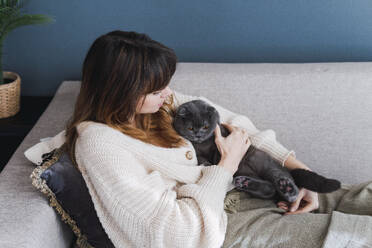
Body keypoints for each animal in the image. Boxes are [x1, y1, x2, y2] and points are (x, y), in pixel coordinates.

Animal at [173, 100, 342, 202]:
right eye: (190, 128)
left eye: (206, 126)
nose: (198, 134)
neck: (204, 144)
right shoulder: (198, 152)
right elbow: (200, 159)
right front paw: (207, 164)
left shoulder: (221, 139)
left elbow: (217, 152)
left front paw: (213, 160)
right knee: (270, 189)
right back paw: (245, 183)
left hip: (265, 164)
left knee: (281, 179)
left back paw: (288, 189)